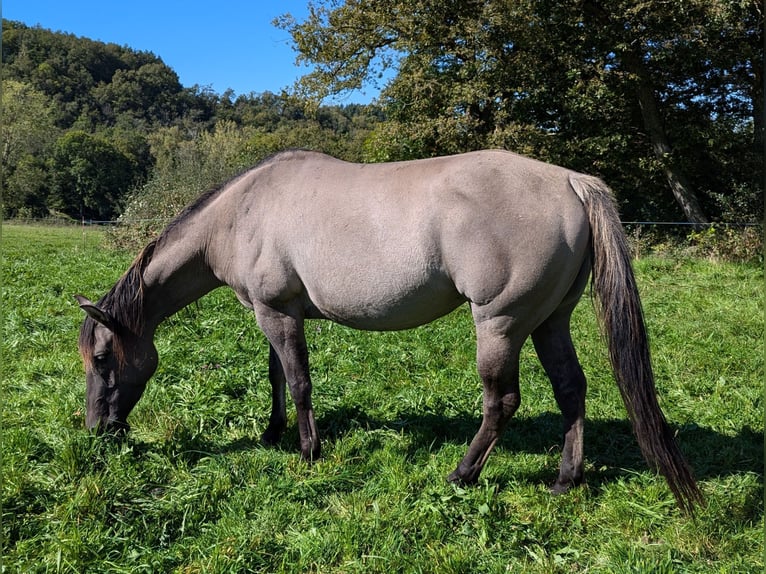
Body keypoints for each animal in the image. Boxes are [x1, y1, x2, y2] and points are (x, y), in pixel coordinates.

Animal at [76, 148, 704, 512]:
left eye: (102, 359)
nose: (98, 431)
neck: (241, 213)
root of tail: (571, 181)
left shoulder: (276, 312)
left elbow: (299, 382)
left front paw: (308, 451)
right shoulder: (276, 313)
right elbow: (277, 377)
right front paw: (272, 433)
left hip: (499, 324)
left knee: (502, 400)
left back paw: (462, 474)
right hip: (550, 321)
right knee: (571, 389)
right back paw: (565, 480)